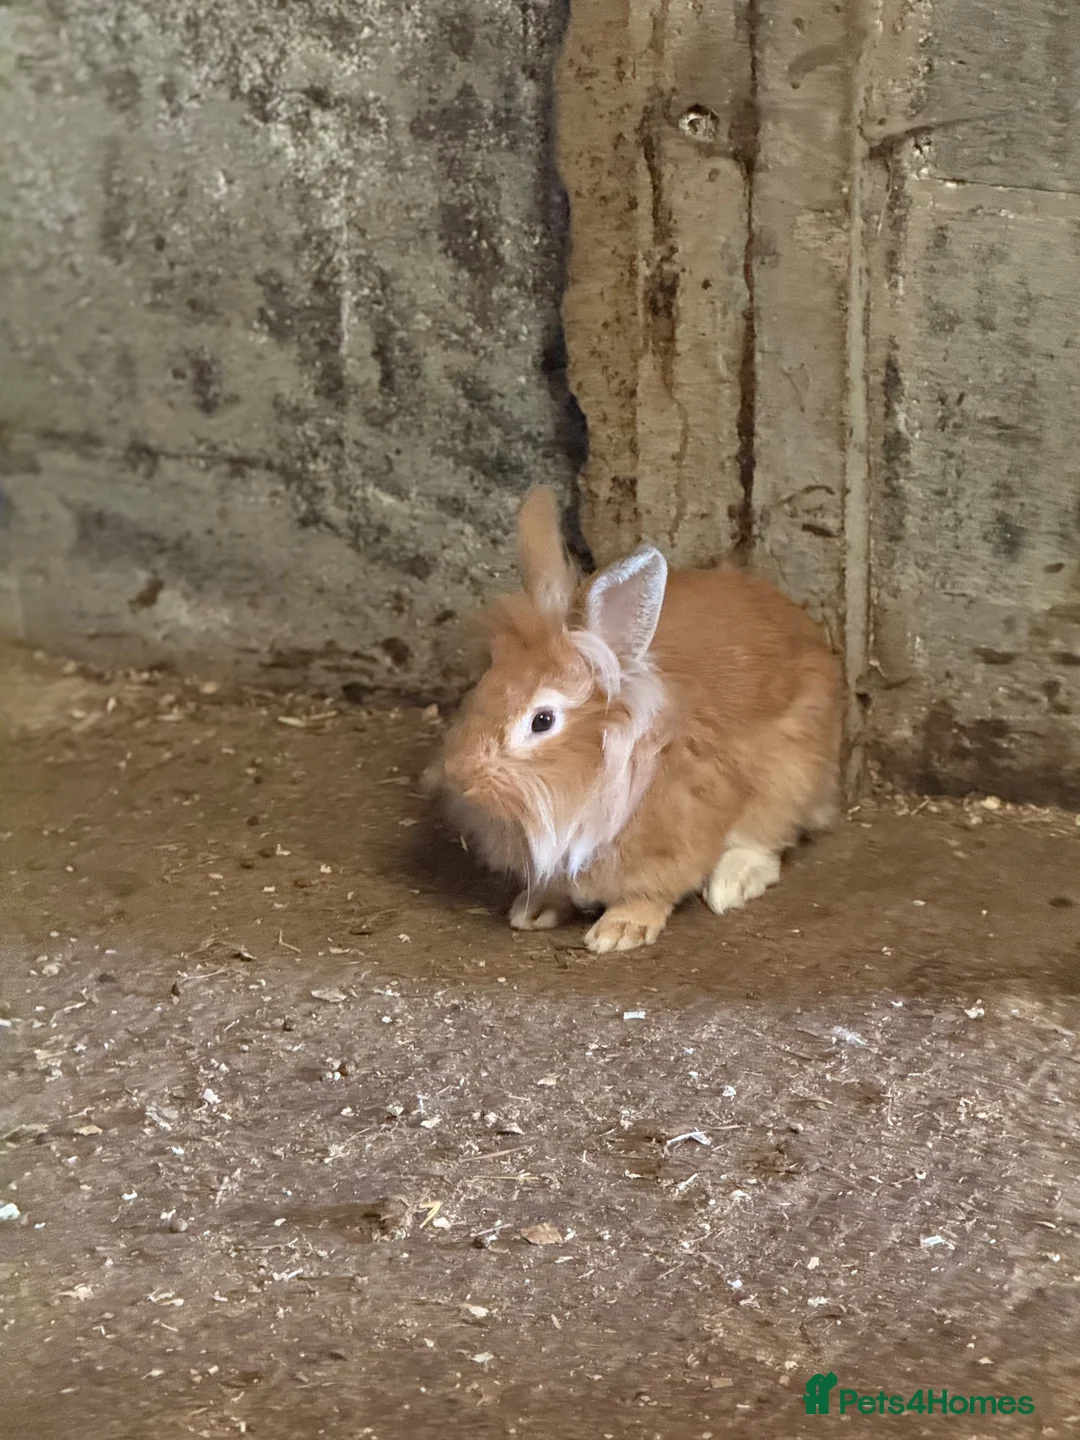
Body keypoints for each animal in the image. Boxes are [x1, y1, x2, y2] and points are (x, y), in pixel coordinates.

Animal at [425, 485, 842, 954]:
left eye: (542, 720)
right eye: (484, 685)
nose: (459, 774)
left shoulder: (673, 841)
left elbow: (650, 892)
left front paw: (619, 931)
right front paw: (532, 910)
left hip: (789, 778)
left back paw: (730, 885)